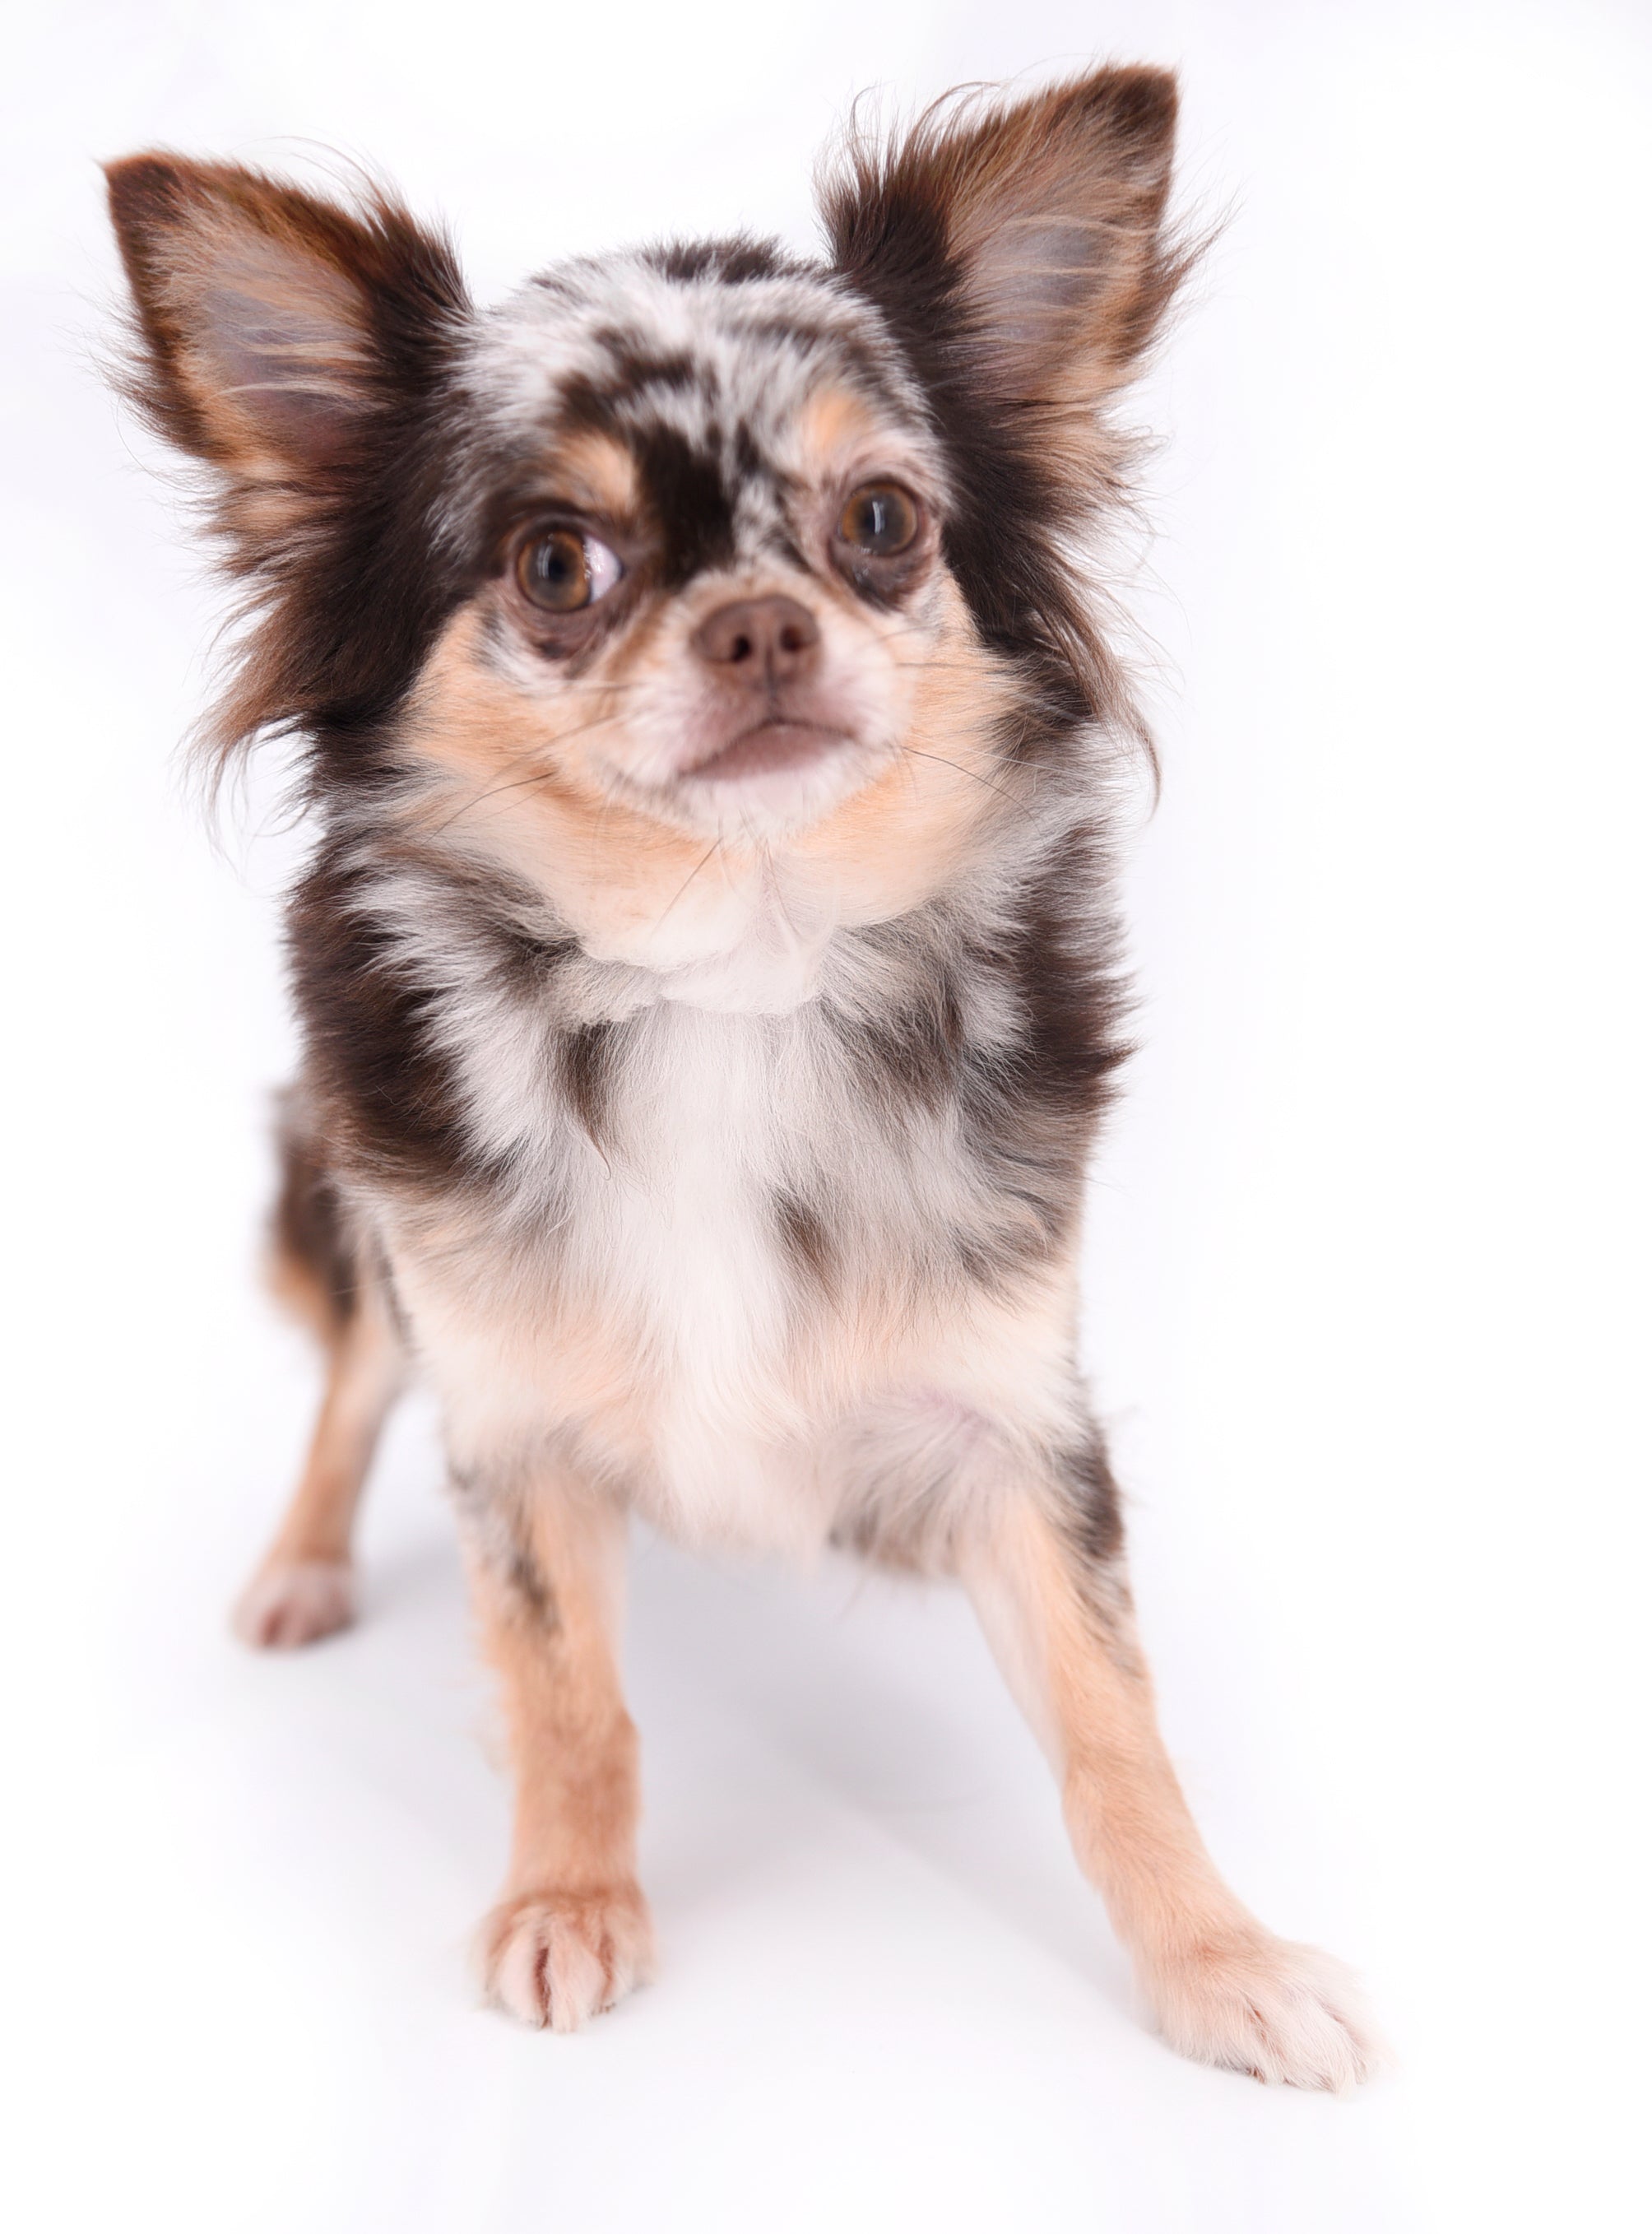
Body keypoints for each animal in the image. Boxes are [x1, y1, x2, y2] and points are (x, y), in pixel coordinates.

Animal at [104, 65, 1378, 2087]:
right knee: (348, 1385)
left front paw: (1218, 1957)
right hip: (367, 1208)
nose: (763, 623)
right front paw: (566, 1896)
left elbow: (1113, 1722)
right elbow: (567, 1691)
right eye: (557, 564)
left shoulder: (1013, 1412)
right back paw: (304, 1569)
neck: (731, 977)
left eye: (880, 522)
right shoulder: (508, 1412)